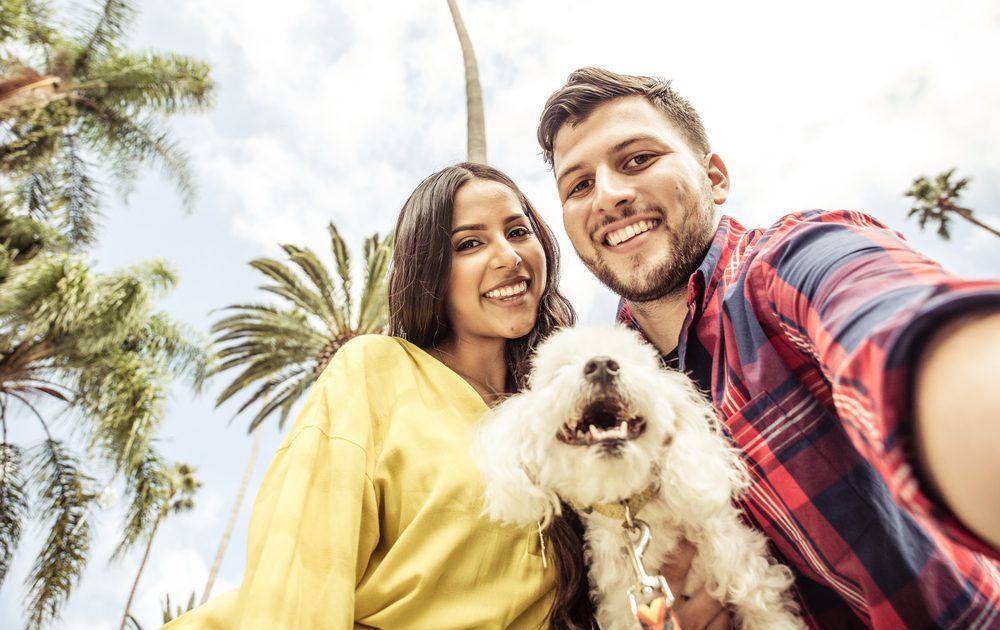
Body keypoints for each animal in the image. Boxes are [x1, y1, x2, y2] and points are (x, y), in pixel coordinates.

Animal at [474, 328, 804, 630]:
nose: (602, 365)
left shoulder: (747, 578)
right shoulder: (624, 607)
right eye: (559, 370)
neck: (628, 507)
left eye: (631, 361)